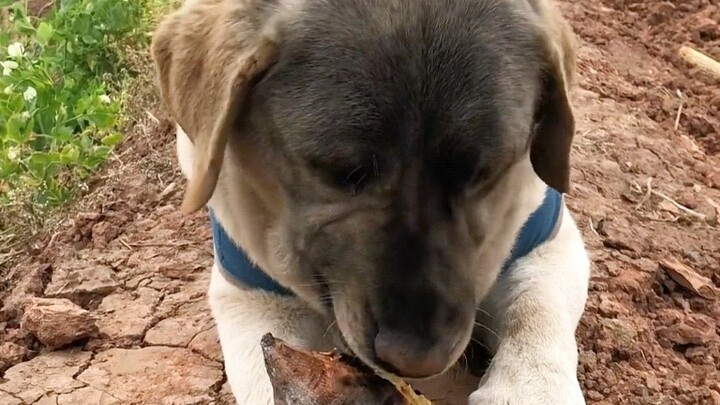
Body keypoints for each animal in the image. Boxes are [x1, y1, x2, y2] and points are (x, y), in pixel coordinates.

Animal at [152, 0, 592, 400]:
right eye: (345, 172)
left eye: (484, 173)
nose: (418, 361)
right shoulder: (249, 297)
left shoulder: (549, 242)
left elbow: (536, 312)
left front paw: (528, 390)